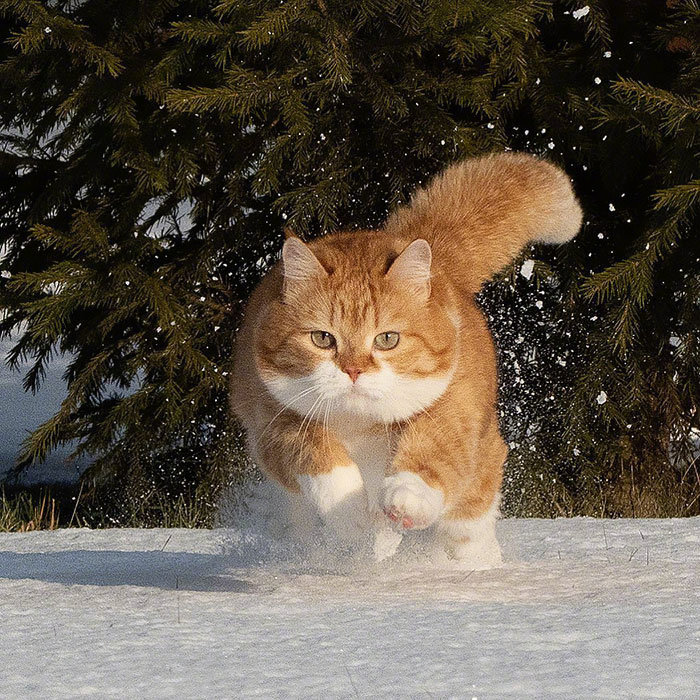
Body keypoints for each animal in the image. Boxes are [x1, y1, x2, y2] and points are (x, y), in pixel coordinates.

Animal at [230, 153, 580, 568]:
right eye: (322, 338)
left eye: (387, 339)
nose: (354, 370)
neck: (361, 425)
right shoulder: (273, 423)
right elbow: (318, 455)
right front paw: (353, 519)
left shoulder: (454, 408)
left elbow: (436, 450)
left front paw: (406, 499)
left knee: (471, 512)